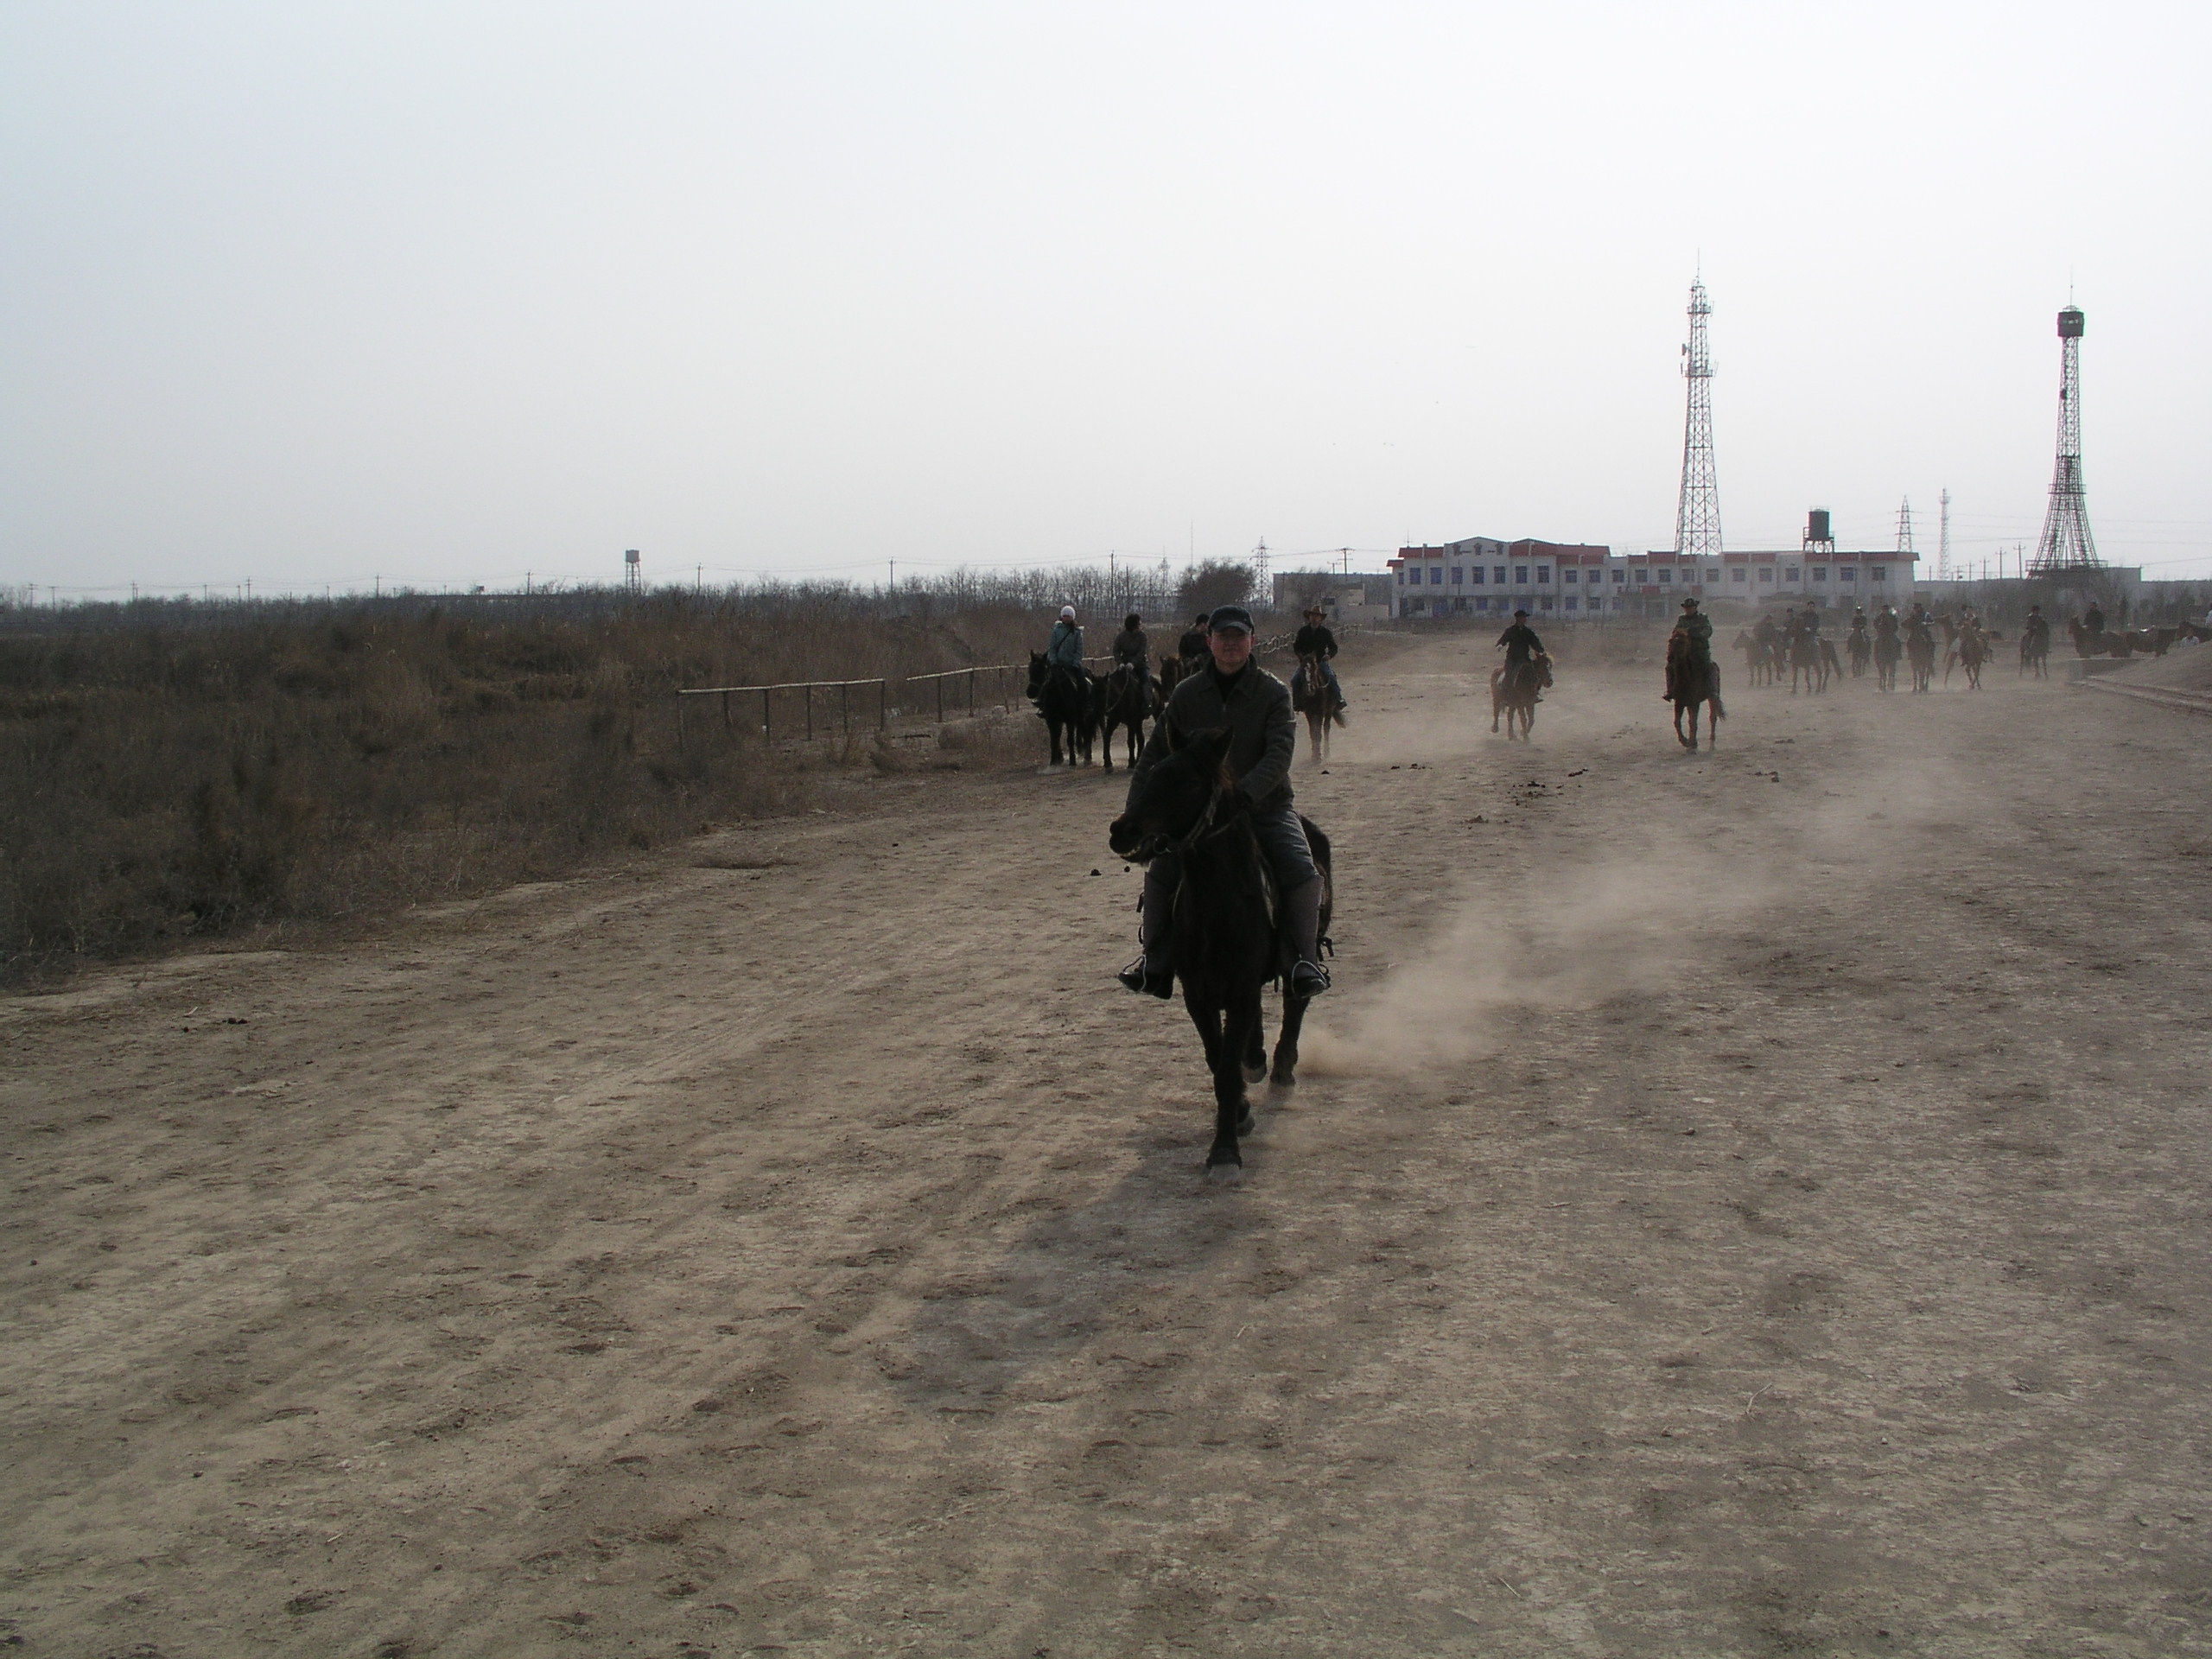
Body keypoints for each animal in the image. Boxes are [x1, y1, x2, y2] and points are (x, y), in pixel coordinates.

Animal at [1026, 654, 1096, 774]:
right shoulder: (1051, 720)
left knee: (1088, 734)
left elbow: (1069, 740)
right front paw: (1053, 763)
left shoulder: (1070, 720)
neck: (1057, 694)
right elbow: (1054, 740)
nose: (1030, 692)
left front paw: (1072, 762)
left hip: (1086, 717)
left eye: (1043, 670)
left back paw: (1087, 758)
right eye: (1030, 670)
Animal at [1096, 664, 1150, 774]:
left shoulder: (1131, 721)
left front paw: (1131, 764)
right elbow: (1106, 737)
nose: (1098, 712)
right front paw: (1108, 764)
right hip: (1138, 722)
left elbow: (1130, 741)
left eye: (1105, 691)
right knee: (1141, 739)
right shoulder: (1113, 720)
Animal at [1106, 725, 1327, 1185]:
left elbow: (1225, 1070)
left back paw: (1281, 1068)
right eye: (1153, 772)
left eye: (1188, 783)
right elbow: (1215, 1059)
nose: (1122, 830)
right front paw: (1239, 1114)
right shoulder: (1199, 994)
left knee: (1295, 1003)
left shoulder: (1240, 990)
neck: (1218, 904)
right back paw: (1256, 1061)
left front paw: (1224, 1152)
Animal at [1292, 654, 1336, 774]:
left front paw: (1318, 757)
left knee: (1326, 728)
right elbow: (1312, 732)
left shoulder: (1320, 711)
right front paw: (1314, 756)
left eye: (1314, 670)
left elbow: (1318, 733)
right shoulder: (1309, 712)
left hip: (1329, 710)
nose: (1309, 690)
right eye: (1302, 672)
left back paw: (1327, 753)